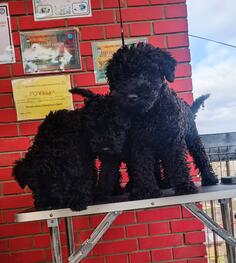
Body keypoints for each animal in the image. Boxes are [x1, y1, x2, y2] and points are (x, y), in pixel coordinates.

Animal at [105, 42, 218, 200]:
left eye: (146, 72)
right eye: (121, 78)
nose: (131, 96)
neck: (151, 112)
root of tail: (188, 108)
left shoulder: (172, 140)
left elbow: (178, 163)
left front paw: (184, 186)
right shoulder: (140, 143)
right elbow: (143, 166)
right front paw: (147, 190)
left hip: (192, 138)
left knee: (200, 155)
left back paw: (209, 178)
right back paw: (165, 183)